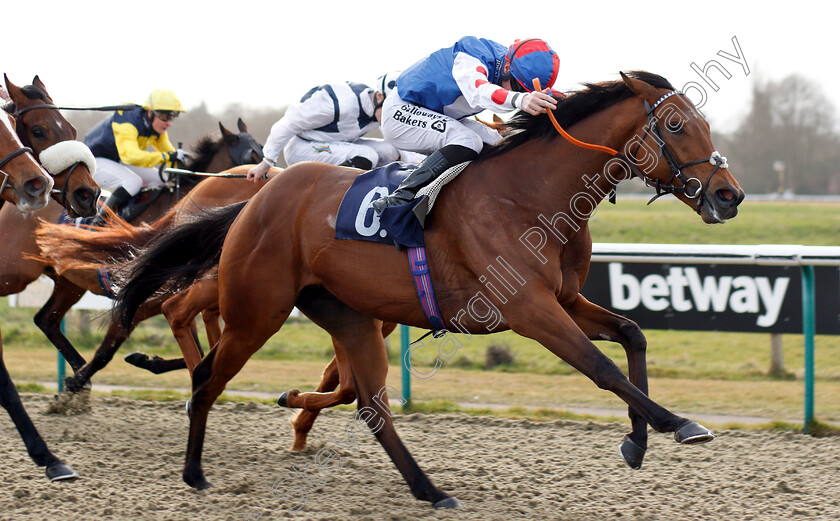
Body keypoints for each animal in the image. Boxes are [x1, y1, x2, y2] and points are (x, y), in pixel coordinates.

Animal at [115, 71, 744, 506]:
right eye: (676, 126)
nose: (729, 195)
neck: (529, 194)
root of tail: (258, 197)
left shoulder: (563, 300)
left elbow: (633, 334)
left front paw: (637, 441)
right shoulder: (530, 309)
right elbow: (602, 368)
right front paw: (677, 424)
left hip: (347, 315)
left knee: (369, 404)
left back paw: (429, 489)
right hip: (257, 310)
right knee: (206, 372)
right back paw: (194, 472)